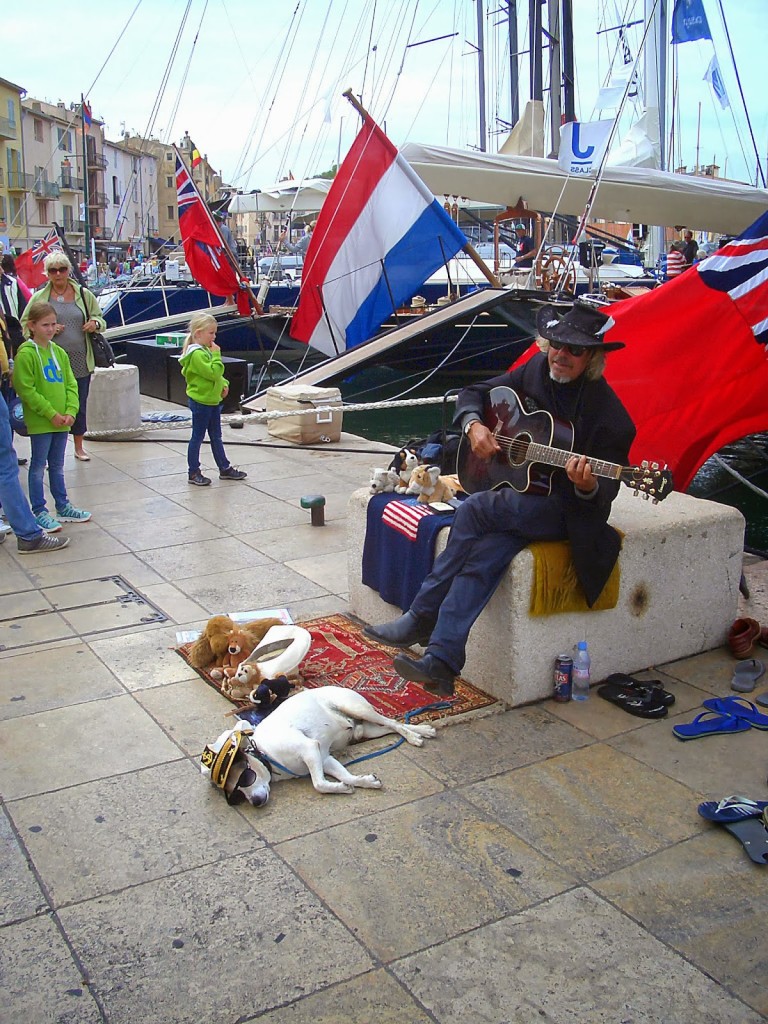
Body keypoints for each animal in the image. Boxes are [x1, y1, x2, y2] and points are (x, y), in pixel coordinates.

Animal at [201, 684, 436, 802]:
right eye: (235, 795)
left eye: (244, 778)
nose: (256, 803)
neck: (266, 754)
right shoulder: (323, 757)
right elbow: (345, 776)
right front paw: (362, 782)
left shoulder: (309, 749)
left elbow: (319, 784)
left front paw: (341, 788)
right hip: (368, 731)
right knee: (392, 726)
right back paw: (423, 730)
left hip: (356, 708)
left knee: (392, 722)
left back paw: (415, 737)